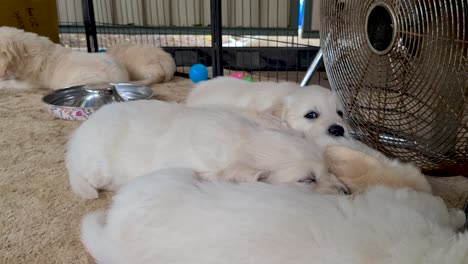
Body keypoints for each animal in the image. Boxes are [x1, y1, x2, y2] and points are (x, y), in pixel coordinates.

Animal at [67, 100, 350, 199]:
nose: (347, 192)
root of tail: (74, 142)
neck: (244, 140)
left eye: (327, 170)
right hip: (97, 168)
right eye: (307, 180)